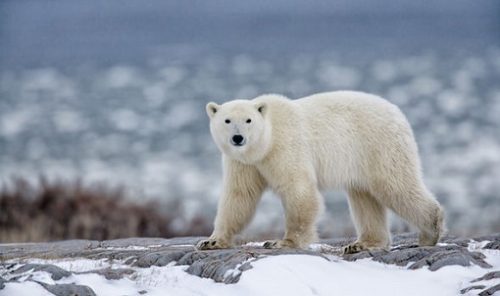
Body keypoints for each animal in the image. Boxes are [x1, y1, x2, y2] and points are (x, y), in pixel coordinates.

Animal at [197, 91, 444, 253]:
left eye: (248, 120)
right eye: (227, 120)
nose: (238, 138)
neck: (266, 141)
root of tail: (398, 112)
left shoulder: (285, 147)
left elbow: (298, 190)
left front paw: (282, 242)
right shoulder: (243, 162)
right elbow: (239, 196)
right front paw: (211, 241)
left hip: (379, 145)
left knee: (396, 186)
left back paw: (430, 231)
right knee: (364, 198)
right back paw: (361, 244)